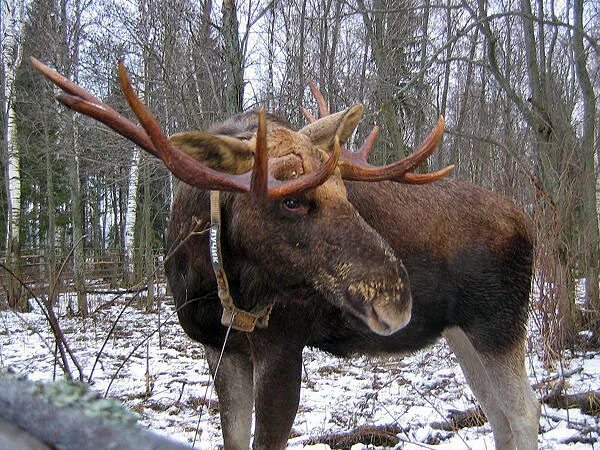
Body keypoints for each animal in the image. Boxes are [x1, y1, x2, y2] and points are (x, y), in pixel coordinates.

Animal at [31, 57, 540, 450]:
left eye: (344, 190)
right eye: (291, 200)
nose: (397, 298)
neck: (210, 283)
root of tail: (529, 223)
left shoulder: (281, 342)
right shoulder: (218, 349)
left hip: (499, 323)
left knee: (525, 412)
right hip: (463, 332)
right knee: (499, 415)